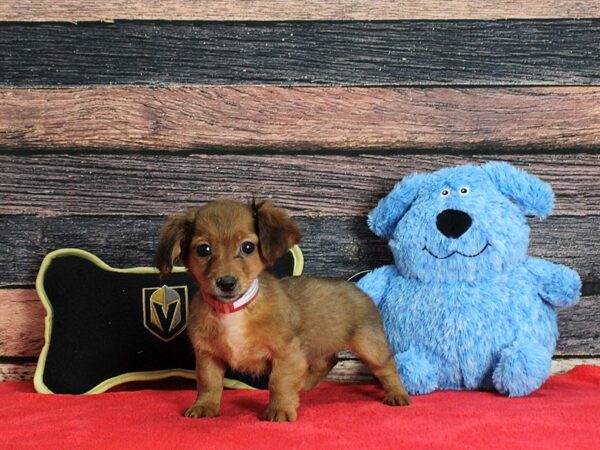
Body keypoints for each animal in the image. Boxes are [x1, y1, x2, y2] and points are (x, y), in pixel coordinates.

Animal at [155, 199, 410, 420]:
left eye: (248, 247)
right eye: (203, 250)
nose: (226, 283)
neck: (235, 309)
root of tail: (359, 288)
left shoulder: (287, 354)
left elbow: (278, 383)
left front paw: (280, 410)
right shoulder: (209, 356)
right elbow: (209, 384)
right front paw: (205, 406)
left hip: (370, 347)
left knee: (388, 367)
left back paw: (397, 394)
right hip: (317, 346)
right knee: (328, 360)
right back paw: (305, 384)